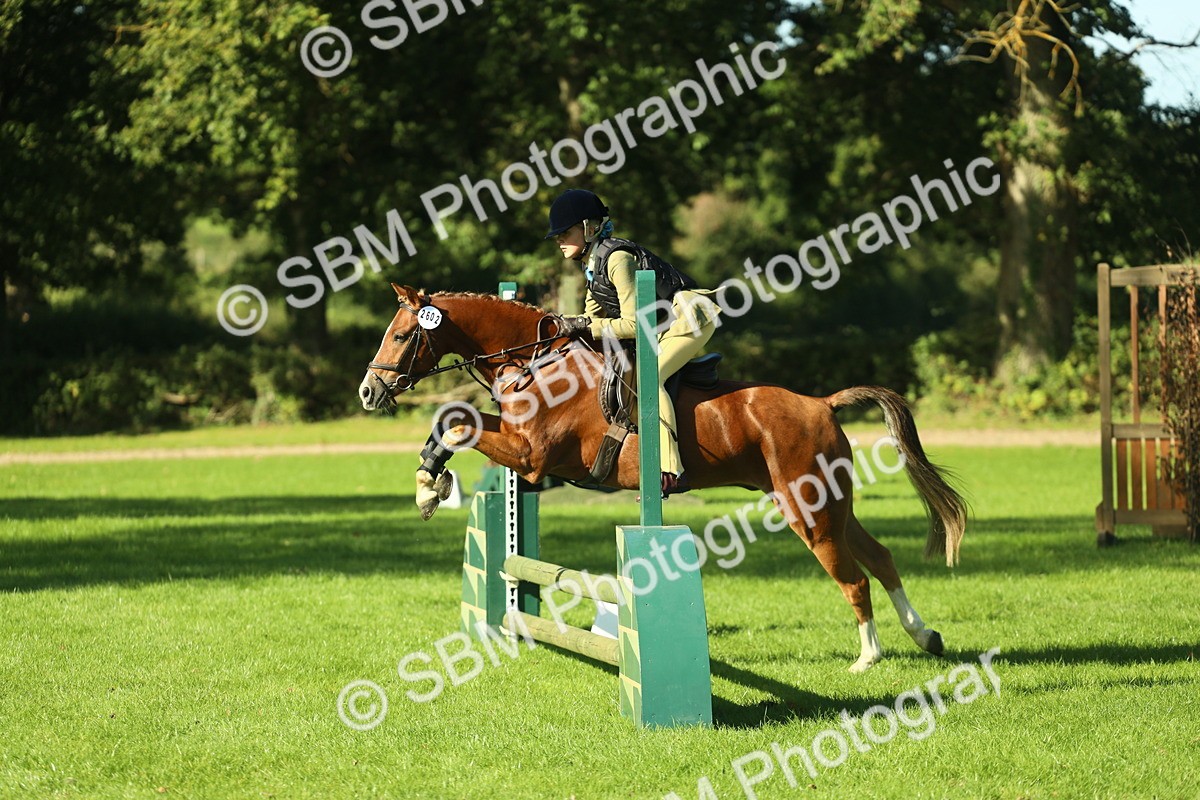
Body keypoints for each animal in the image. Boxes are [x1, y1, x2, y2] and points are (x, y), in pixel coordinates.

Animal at [360, 283, 967, 673]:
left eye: (401, 337)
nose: (368, 392)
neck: (537, 362)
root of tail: (821, 402)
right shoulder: (521, 451)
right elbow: (455, 420)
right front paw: (429, 482)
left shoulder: (532, 457)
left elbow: (455, 420)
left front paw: (428, 489)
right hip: (830, 501)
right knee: (880, 557)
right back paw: (926, 637)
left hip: (807, 508)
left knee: (854, 578)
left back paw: (867, 659)